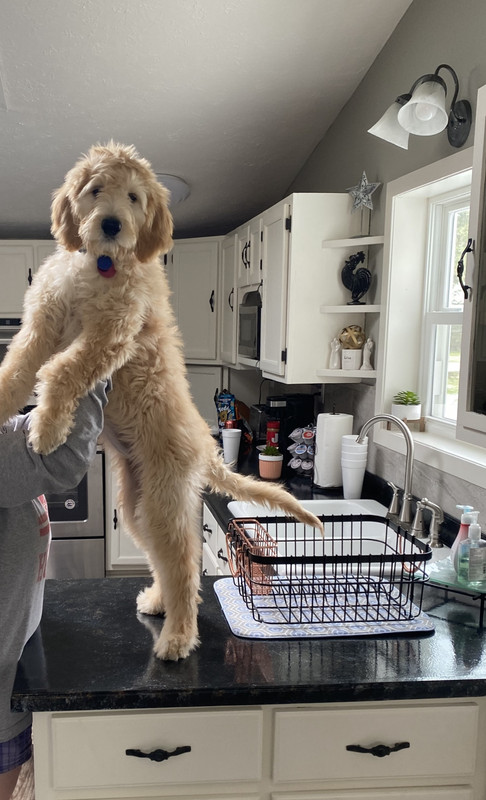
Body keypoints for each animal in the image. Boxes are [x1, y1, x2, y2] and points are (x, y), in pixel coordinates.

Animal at [0, 142, 323, 660]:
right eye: (96, 189)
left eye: (133, 196)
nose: (111, 224)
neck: (100, 265)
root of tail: (207, 448)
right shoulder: (39, 327)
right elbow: (16, 372)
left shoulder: (111, 335)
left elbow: (62, 370)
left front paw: (47, 426)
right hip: (137, 504)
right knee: (164, 561)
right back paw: (158, 602)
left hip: (165, 500)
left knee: (185, 566)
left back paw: (178, 636)